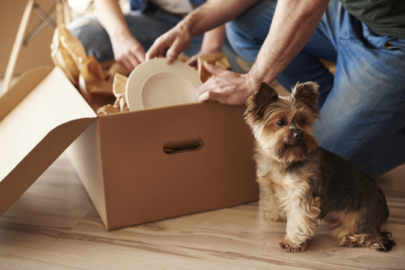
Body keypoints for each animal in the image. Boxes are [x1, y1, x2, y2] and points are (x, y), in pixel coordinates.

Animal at [243, 81, 394, 252]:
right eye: (280, 122)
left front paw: (292, 242)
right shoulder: (272, 185)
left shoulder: (302, 194)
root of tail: (384, 210)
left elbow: (298, 220)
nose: (299, 134)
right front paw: (275, 215)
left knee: (367, 237)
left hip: (359, 219)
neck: (285, 159)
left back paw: (351, 238)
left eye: (303, 121)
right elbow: (274, 198)